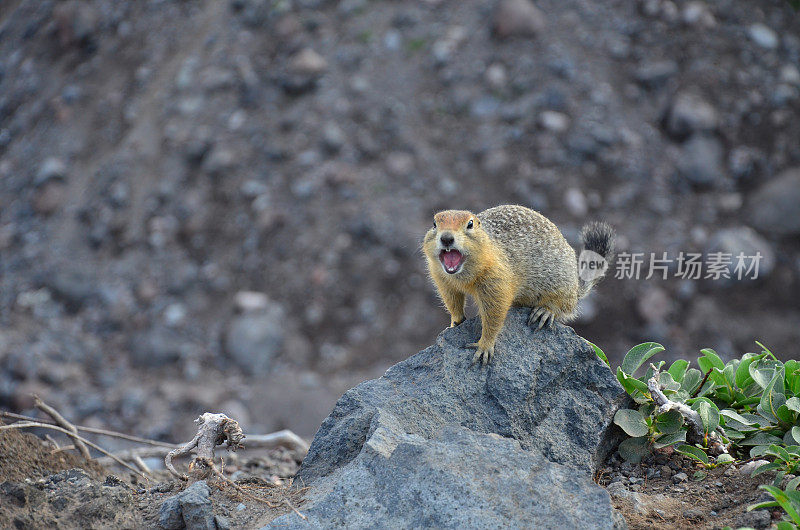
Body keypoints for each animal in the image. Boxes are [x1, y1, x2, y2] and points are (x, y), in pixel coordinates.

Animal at [422, 202, 616, 364]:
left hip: (561, 285)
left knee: (563, 306)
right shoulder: (443, 280)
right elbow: (452, 301)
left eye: (470, 224)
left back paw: (544, 312)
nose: (447, 238)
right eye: (434, 223)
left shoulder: (497, 282)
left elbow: (494, 315)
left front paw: (484, 346)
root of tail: (576, 289)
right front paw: (455, 322)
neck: (462, 276)